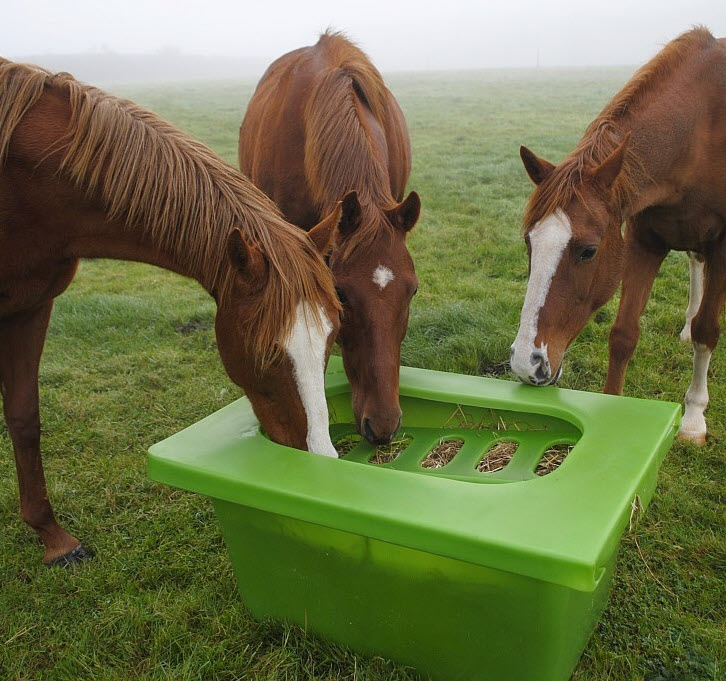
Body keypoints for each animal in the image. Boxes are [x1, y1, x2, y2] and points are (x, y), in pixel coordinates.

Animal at [0, 58, 342, 564]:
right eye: (263, 353)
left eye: (332, 337)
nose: (319, 464)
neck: (27, 183)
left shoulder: (31, 305)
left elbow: (24, 418)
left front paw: (54, 539)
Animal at [512, 29, 726, 446]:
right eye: (530, 244)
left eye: (588, 251)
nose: (528, 364)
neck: (699, 131)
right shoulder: (645, 242)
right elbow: (623, 334)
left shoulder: (723, 244)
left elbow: (708, 331)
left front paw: (693, 419)